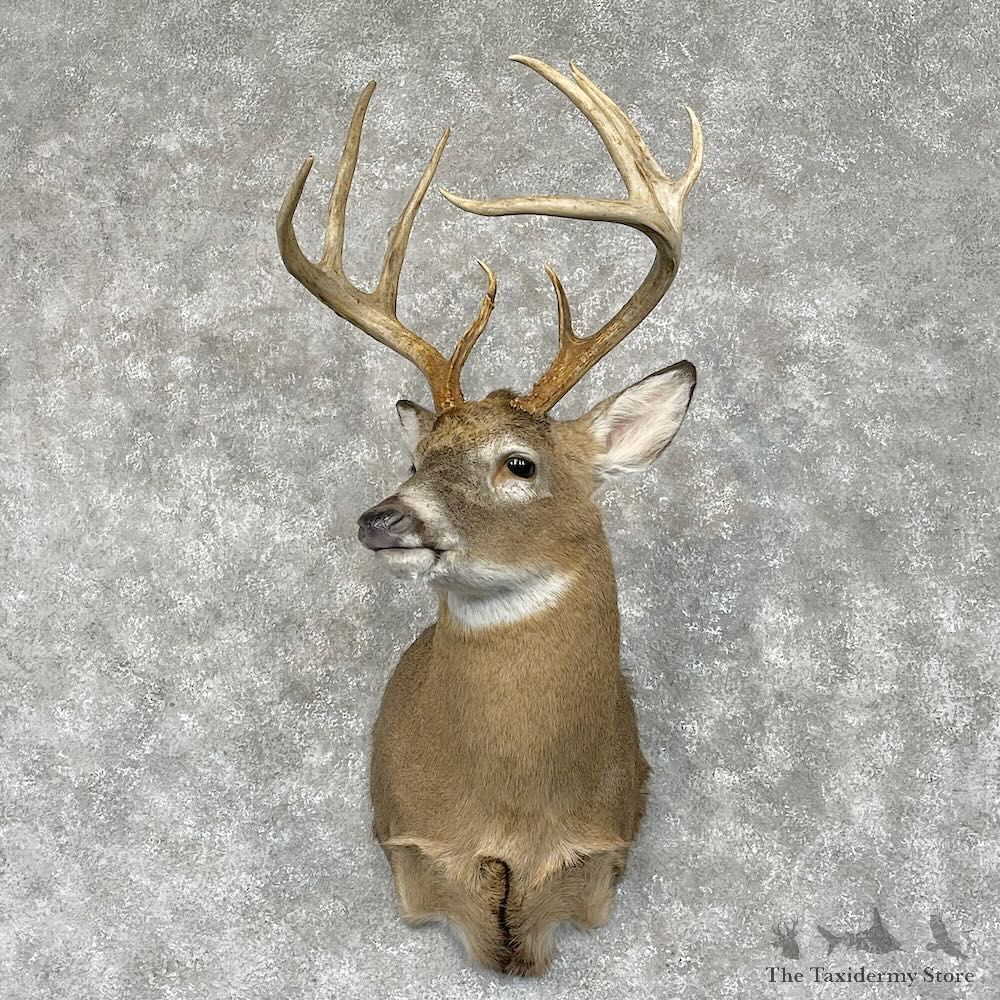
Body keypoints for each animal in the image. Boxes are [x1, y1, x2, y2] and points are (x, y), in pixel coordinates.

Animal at [276, 55, 702, 977]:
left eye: (519, 463)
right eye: (416, 459)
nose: (383, 519)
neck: (510, 815)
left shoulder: (606, 848)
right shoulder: (406, 841)